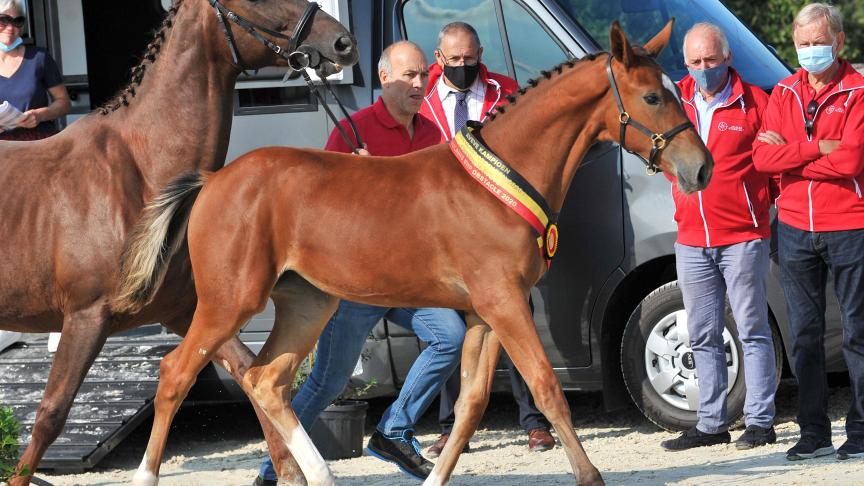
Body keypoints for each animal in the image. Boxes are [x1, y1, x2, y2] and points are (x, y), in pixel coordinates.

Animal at [0, 1, 354, 484]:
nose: (342, 43)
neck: (139, 169)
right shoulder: (85, 317)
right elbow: (50, 415)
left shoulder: (187, 310)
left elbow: (246, 373)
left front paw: (291, 472)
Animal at [113, 19, 708, 486]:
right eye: (652, 97)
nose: (700, 169)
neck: (501, 177)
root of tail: (212, 181)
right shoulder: (503, 304)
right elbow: (545, 387)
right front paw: (590, 477)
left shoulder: (485, 313)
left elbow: (470, 404)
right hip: (228, 301)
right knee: (176, 373)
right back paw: (148, 476)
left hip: (307, 303)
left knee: (266, 380)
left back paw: (314, 475)